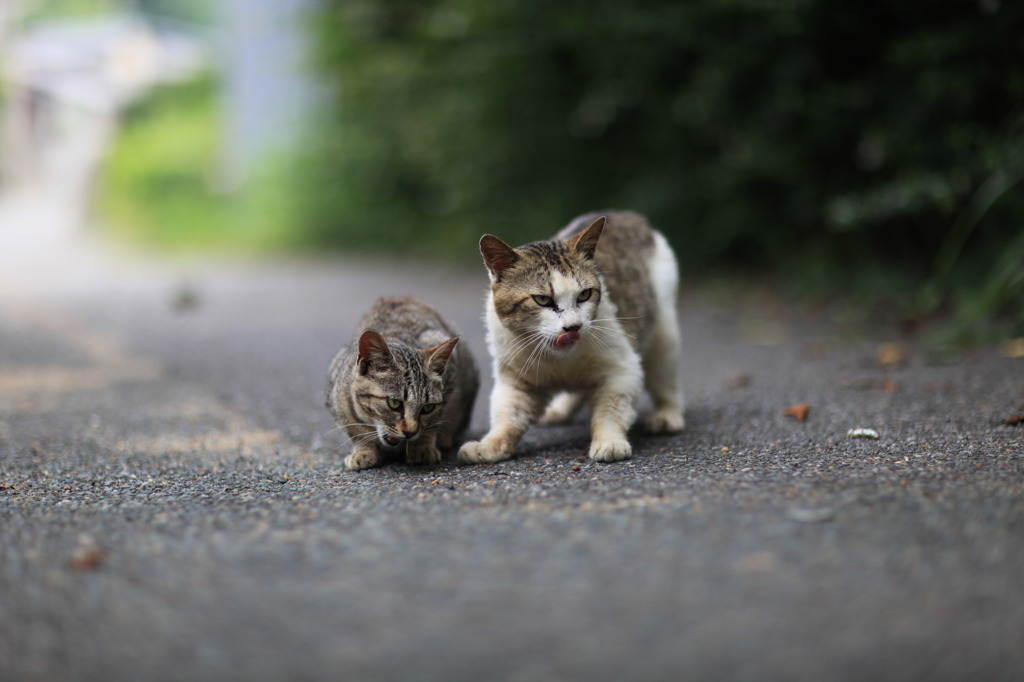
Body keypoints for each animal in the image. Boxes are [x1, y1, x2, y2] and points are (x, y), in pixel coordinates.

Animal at [327, 294, 479, 471]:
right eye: (394, 403)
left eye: (428, 408)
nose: (410, 432)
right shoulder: (337, 396)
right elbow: (355, 429)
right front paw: (364, 450)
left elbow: (432, 424)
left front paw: (422, 447)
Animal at [458, 209, 684, 464]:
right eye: (542, 300)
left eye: (584, 295)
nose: (573, 327)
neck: (559, 358)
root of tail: (625, 213)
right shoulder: (516, 381)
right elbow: (508, 417)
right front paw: (490, 445)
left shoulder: (622, 370)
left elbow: (610, 410)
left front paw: (609, 441)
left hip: (664, 334)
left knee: (665, 380)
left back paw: (667, 415)